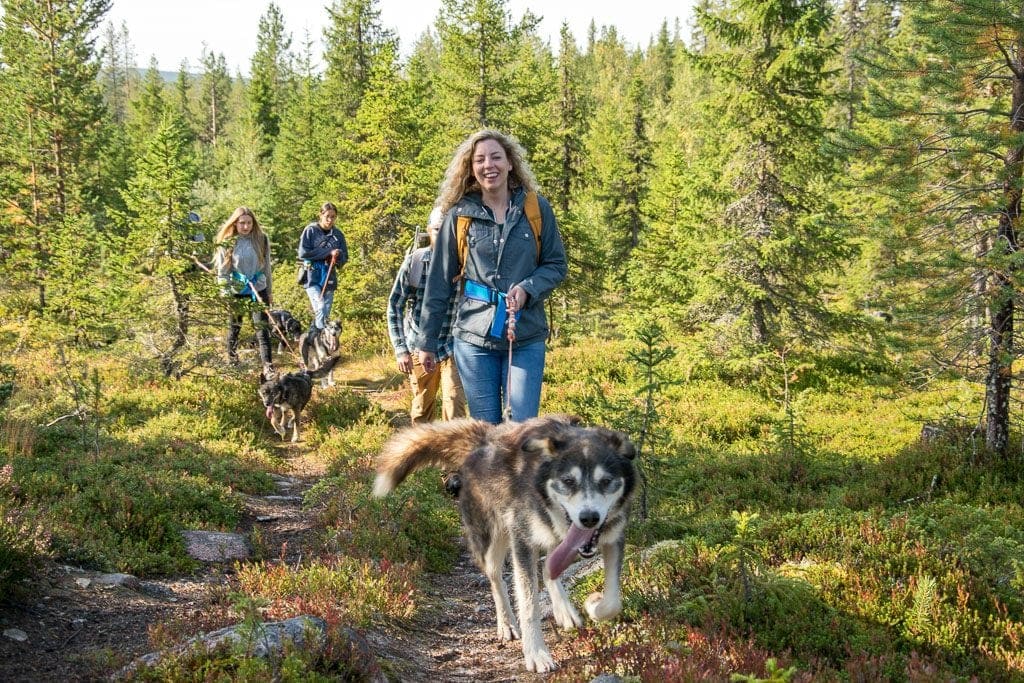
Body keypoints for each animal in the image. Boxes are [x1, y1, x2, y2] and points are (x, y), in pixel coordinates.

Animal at [372, 413, 634, 671]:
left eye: (606, 481)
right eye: (568, 481)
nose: (589, 518)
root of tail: (485, 436)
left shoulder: (614, 538)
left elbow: (613, 602)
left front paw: (594, 606)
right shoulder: (522, 541)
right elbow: (529, 605)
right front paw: (536, 653)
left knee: (548, 564)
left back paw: (563, 610)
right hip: (493, 540)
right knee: (497, 579)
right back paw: (507, 623)